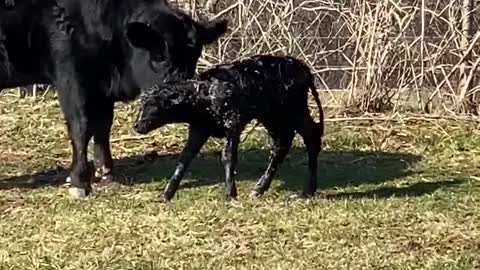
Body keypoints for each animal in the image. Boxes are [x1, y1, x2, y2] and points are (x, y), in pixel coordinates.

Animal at [0, 0, 229, 198]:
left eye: (194, 55)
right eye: (159, 56)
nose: (178, 94)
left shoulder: (101, 87)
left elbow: (103, 126)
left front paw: (106, 172)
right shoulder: (71, 76)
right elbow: (81, 127)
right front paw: (79, 181)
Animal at [133, 54, 324, 201]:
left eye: (153, 104)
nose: (136, 125)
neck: (205, 94)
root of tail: (302, 67)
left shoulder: (233, 123)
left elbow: (228, 156)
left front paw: (230, 194)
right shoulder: (199, 128)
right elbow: (185, 157)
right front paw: (167, 193)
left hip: (295, 111)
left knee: (311, 137)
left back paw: (308, 190)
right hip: (273, 117)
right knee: (282, 143)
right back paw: (259, 189)